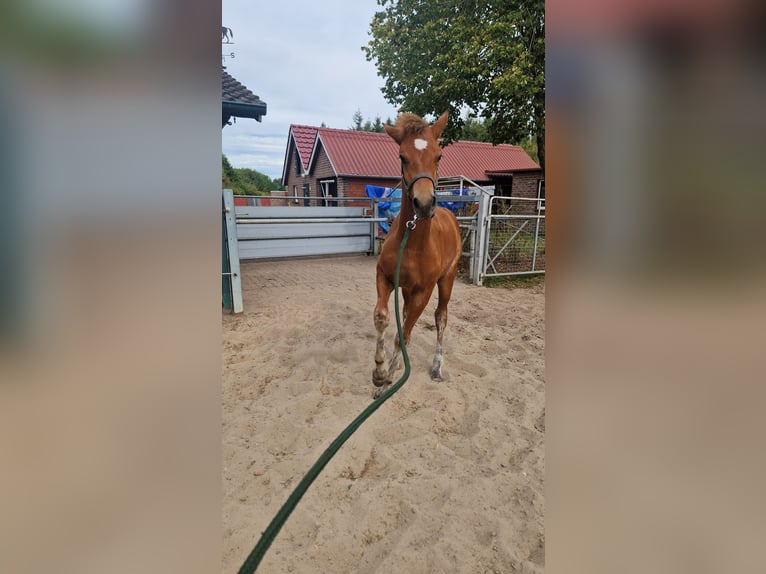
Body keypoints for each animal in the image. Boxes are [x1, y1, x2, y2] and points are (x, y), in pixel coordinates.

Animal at [372, 111, 462, 398]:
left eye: (439, 155)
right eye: (402, 156)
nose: (424, 204)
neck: (411, 244)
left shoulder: (424, 291)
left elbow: (405, 334)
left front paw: (387, 381)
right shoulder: (385, 278)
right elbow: (382, 318)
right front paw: (379, 371)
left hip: (446, 281)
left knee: (441, 318)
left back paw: (436, 367)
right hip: (406, 289)